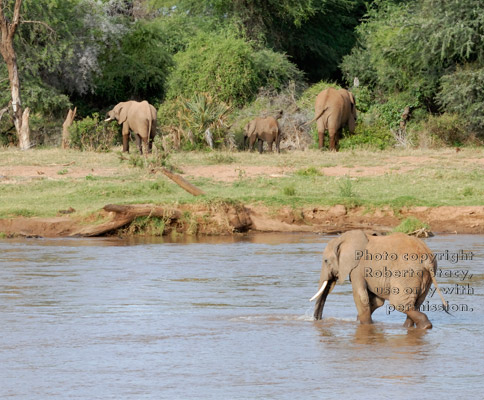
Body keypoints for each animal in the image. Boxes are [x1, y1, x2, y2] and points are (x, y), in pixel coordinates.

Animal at [308, 230, 448, 330]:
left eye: (326, 261)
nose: (317, 320)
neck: (342, 239)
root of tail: (427, 259)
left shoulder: (358, 268)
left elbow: (361, 296)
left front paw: (366, 325)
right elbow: (377, 301)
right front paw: (360, 321)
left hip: (406, 273)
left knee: (399, 303)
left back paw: (424, 326)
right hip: (425, 276)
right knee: (416, 303)